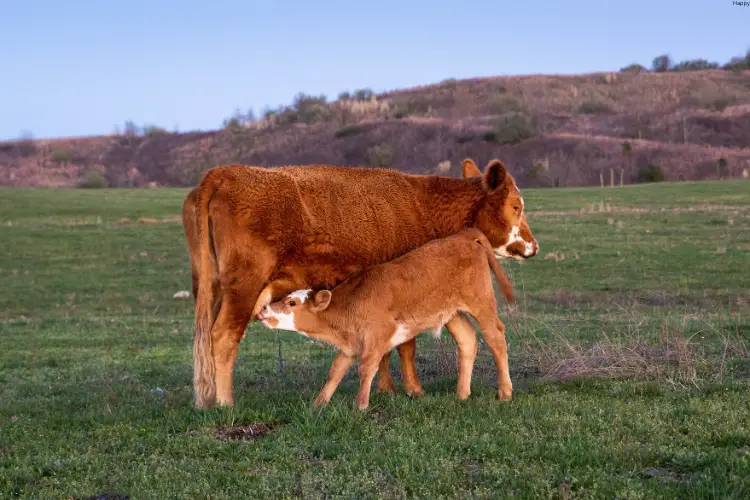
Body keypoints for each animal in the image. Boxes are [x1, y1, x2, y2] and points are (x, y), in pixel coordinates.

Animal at [258, 229, 516, 412]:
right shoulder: (351, 344)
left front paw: (360, 405)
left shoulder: (377, 334)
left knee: (495, 337)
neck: (349, 303)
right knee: (468, 340)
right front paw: (319, 404)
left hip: (481, 303)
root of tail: (465, 235)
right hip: (452, 313)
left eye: (292, 303)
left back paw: (505, 393)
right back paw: (462, 394)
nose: (263, 309)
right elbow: (335, 371)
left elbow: (367, 367)